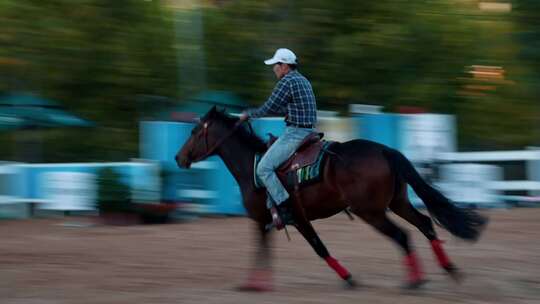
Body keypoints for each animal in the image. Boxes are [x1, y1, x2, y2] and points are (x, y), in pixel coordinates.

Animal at [175, 106, 488, 290]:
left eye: (194, 130)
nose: (179, 158)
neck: (252, 165)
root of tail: (384, 150)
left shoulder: (288, 218)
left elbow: (315, 248)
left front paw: (347, 277)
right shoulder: (274, 220)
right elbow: (267, 250)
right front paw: (257, 284)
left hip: (371, 212)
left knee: (402, 236)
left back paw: (415, 281)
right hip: (397, 202)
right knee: (425, 224)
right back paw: (449, 268)